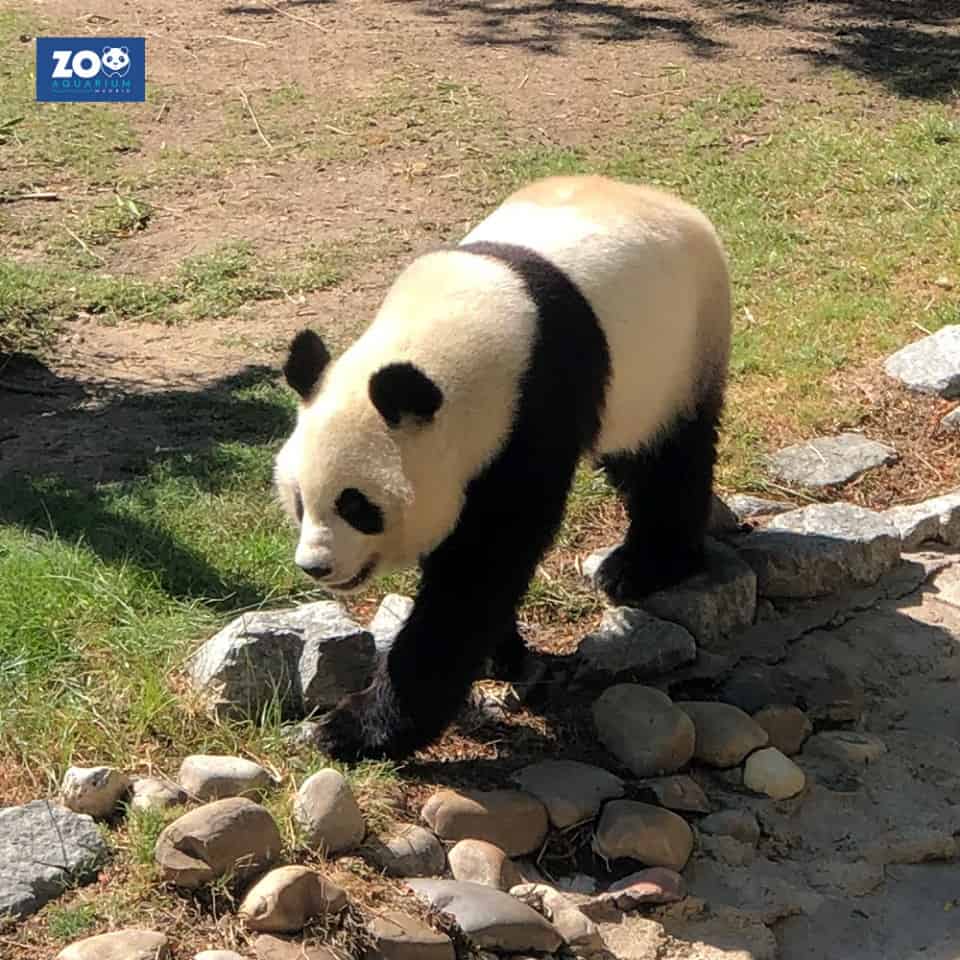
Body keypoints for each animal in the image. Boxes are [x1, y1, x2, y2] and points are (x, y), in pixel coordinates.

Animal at [274, 174, 731, 761]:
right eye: (299, 501)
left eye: (356, 505)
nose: (316, 566)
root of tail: (671, 204)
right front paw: (501, 653)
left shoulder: (532, 413)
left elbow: (481, 569)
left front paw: (354, 728)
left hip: (679, 347)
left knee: (668, 458)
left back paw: (644, 566)